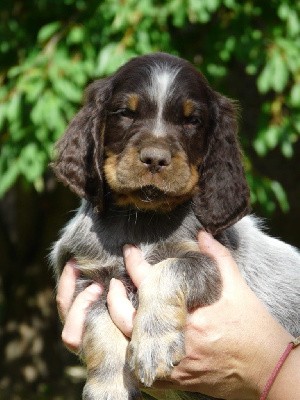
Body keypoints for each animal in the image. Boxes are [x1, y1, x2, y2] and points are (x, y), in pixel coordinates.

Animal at [49, 53, 300, 400]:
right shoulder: (88, 280)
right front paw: (109, 387)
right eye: (126, 113)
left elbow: (167, 271)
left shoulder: (209, 263)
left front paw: (153, 345)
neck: (143, 220)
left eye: (191, 121)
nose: (155, 159)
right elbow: (99, 320)